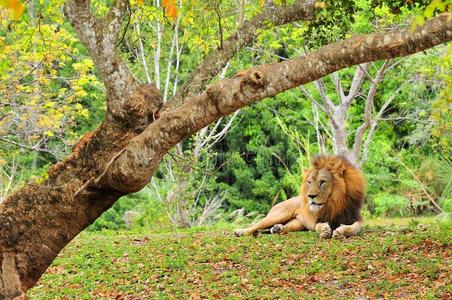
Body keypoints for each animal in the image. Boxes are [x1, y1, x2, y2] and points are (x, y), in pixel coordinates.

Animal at [235, 155, 366, 239]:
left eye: (322, 182)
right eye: (309, 182)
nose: (311, 196)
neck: (334, 203)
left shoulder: (355, 218)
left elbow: (354, 228)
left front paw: (340, 232)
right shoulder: (315, 221)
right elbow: (318, 226)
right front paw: (325, 231)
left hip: (297, 223)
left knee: (281, 227)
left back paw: (277, 229)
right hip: (278, 215)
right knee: (255, 225)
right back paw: (240, 231)